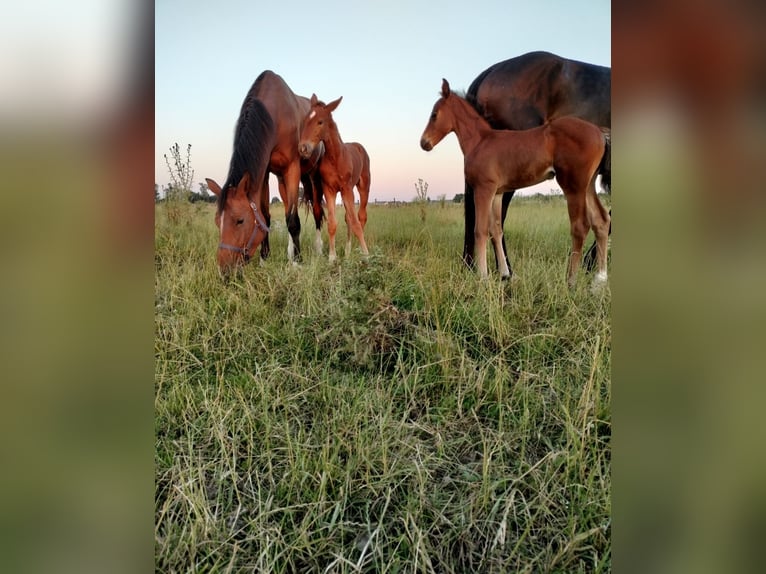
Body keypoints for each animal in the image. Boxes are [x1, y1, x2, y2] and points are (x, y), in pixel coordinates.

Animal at [204, 71, 324, 276]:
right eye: (217, 221)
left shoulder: (292, 168)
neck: (275, 115)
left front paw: (298, 262)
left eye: (240, 220)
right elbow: (266, 216)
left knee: (316, 211)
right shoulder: (265, 172)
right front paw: (264, 259)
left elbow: (293, 221)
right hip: (282, 180)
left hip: (312, 176)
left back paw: (318, 248)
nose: (225, 271)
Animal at [298, 95, 370, 262]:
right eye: (305, 120)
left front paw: (366, 254)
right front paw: (332, 257)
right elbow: (332, 222)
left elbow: (356, 222)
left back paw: (358, 249)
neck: (335, 158)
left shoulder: (346, 189)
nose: (303, 148)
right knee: (348, 218)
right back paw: (348, 251)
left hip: (363, 187)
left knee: (361, 216)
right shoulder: (329, 190)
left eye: (320, 122)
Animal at [420, 80, 612, 288]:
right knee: (601, 220)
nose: (424, 143)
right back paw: (600, 280)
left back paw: (570, 281)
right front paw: (505, 274)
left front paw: (483, 277)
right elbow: (496, 229)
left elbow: (480, 230)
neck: (480, 141)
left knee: (580, 226)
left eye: (434, 114)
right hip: (588, 185)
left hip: (573, 185)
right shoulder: (497, 193)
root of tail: (599, 132)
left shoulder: (484, 189)